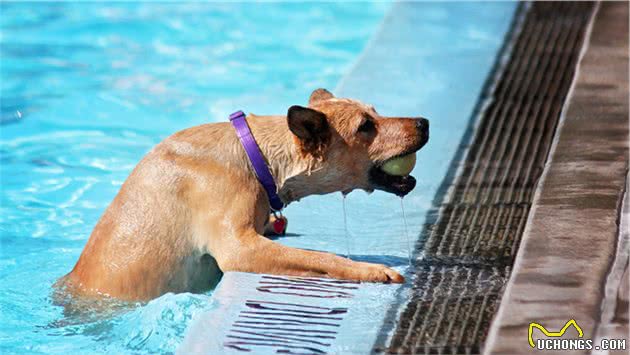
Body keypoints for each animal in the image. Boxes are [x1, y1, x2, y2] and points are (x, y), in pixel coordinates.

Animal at [58, 88, 430, 300]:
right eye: (365, 126)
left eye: (376, 111)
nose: (424, 122)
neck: (256, 156)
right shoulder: (239, 248)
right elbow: (322, 257)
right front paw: (371, 269)